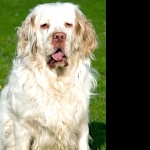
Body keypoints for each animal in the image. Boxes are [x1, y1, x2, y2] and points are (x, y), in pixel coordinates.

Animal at [0, 2, 98, 150]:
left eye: (68, 24)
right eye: (44, 25)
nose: (59, 36)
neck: (57, 81)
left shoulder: (81, 124)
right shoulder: (21, 126)